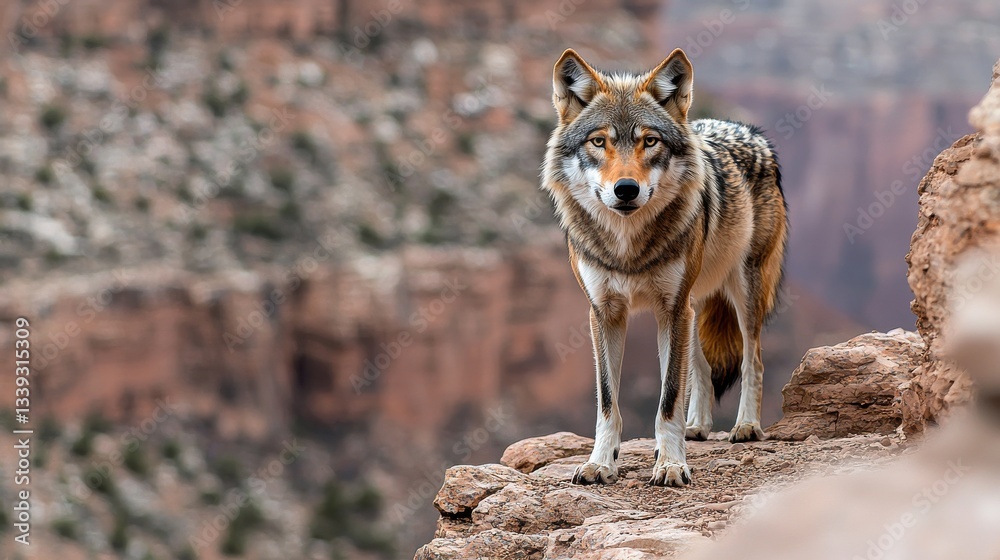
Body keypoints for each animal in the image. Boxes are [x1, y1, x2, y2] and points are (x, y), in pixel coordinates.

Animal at [541, 49, 788, 487]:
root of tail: (746, 129)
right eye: (598, 141)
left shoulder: (671, 309)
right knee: (702, 367)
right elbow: (608, 401)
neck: (627, 246)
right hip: (692, 305)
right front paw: (601, 463)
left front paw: (672, 464)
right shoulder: (606, 313)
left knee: (752, 359)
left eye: (650, 141)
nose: (625, 189)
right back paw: (698, 427)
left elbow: (668, 397)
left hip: (742, 292)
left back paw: (746, 426)